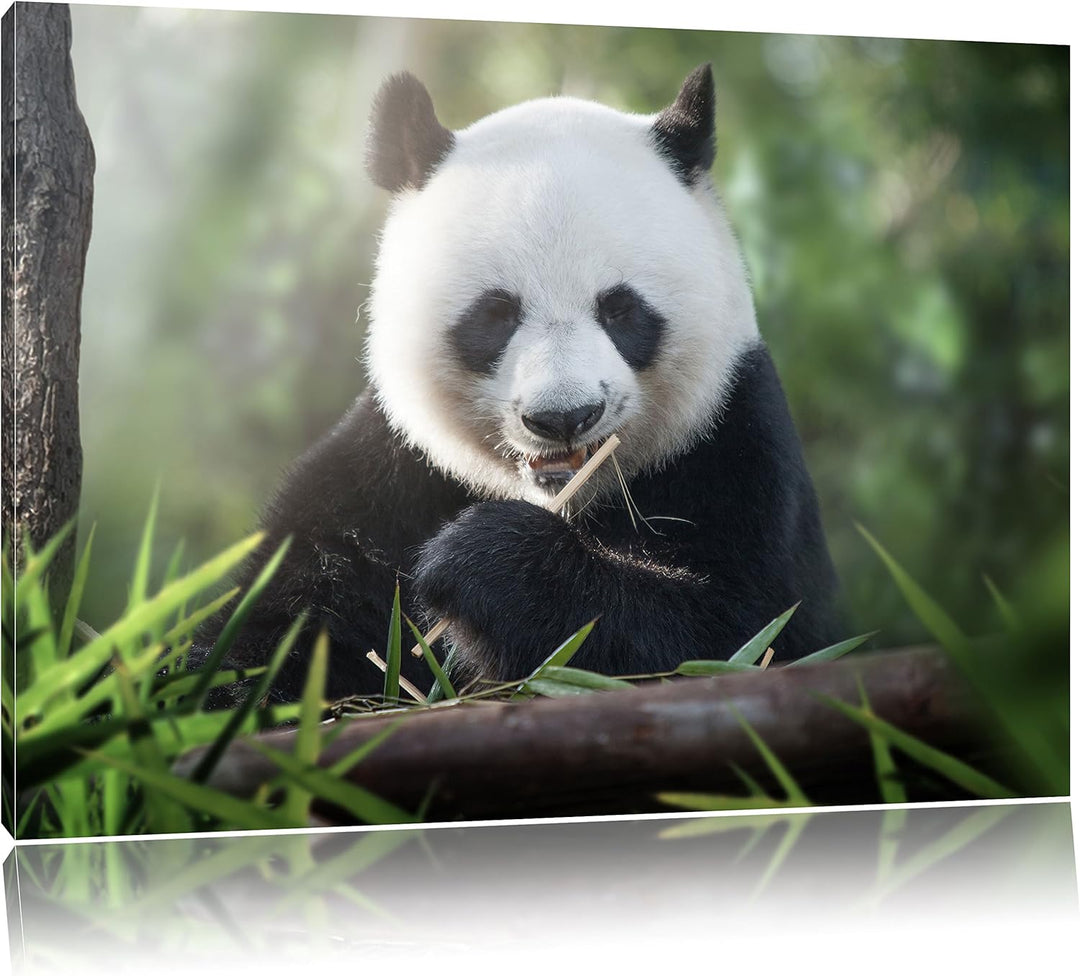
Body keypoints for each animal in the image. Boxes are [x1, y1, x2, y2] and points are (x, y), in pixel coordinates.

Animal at [200, 64, 843, 704]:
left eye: (621, 310)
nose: (564, 416)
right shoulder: (390, 472)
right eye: (496, 314)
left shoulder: (732, 446)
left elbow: (735, 634)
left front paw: (480, 561)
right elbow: (279, 618)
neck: (564, 498)